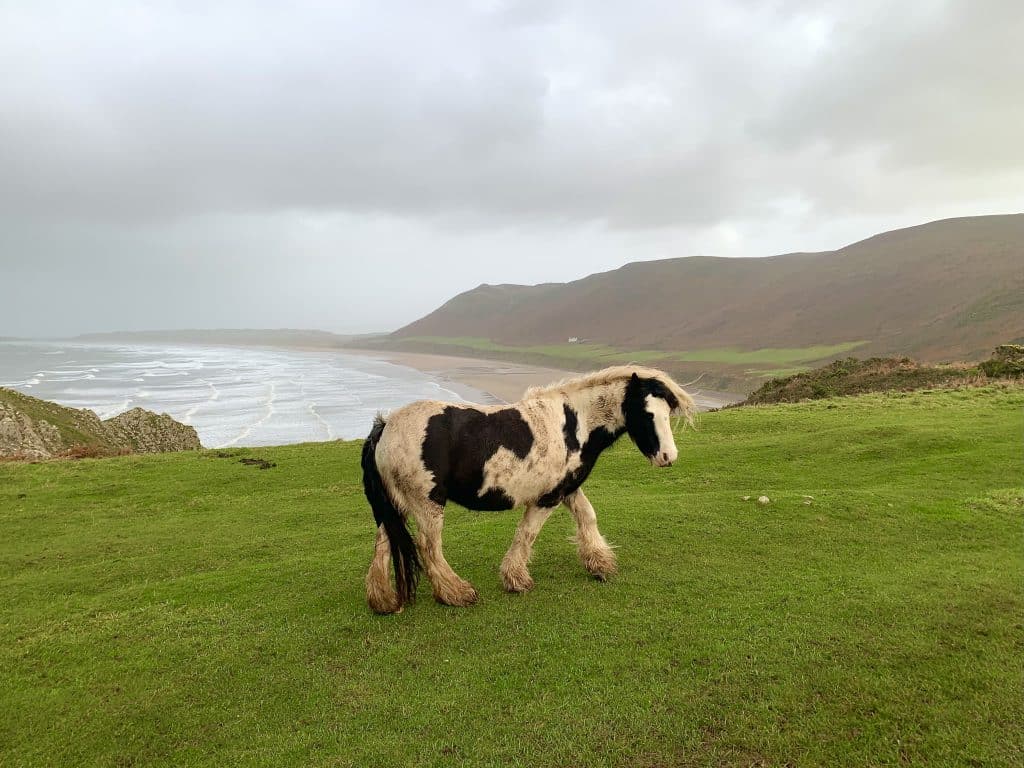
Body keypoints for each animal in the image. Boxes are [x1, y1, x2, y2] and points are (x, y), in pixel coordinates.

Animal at [361, 365, 695, 614]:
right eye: (647, 414)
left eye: (668, 413)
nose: (669, 457)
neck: (574, 423)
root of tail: (386, 426)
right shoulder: (547, 497)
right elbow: (527, 533)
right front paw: (516, 579)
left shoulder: (567, 488)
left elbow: (588, 517)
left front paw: (600, 563)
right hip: (427, 503)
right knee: (429, 547)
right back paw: (456, 593)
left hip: (397, 505)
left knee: (383, 543)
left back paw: (383, 601)